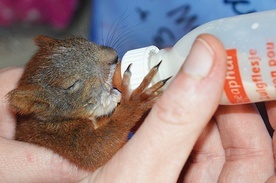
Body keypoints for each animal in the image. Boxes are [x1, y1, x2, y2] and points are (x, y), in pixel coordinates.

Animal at [8, 36, 168, 172]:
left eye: (83, 41)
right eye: (70, 85)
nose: (114, 56)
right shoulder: (62, 140)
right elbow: (97, 151)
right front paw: (135, 101)